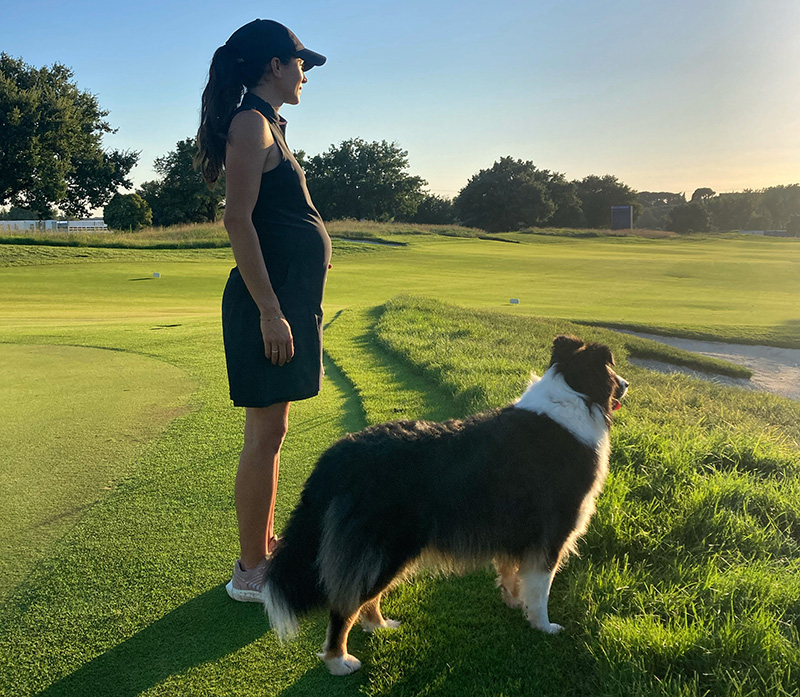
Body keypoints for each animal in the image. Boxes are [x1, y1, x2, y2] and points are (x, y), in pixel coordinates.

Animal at [260, 334, 624, 672]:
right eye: (611, 369)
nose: (627, 384)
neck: (575, 393)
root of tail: (337, 454)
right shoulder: (552, 534)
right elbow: (540, 589)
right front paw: (543, 625)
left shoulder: (514, 530)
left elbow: (511, 573)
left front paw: (513, 601)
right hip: (386, 546)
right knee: (344, 606)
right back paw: (339, 661)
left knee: (365, 598)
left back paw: (380, 626)